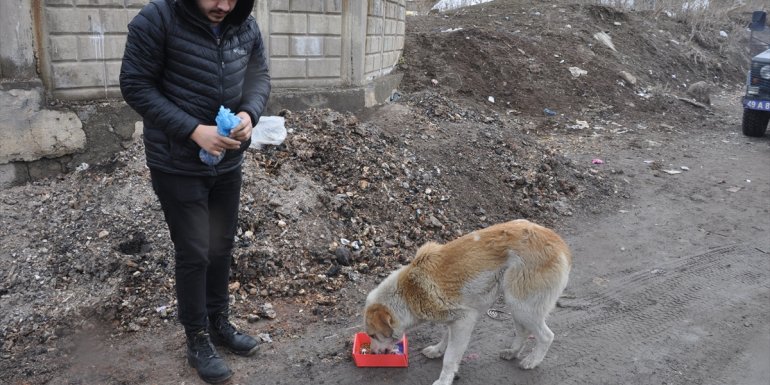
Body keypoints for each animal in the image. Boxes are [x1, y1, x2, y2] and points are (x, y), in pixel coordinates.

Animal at [362, 219, 568, 384]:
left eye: (372, 335)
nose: (373, 353)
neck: (409, 292)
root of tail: (559, 243)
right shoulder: (454, 318)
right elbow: (446, 337)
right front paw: (437, 350)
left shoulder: (464, 321)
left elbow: (450, 358)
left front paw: (444, 380)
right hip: (516, 305)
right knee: (524, 331)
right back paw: (512, 352)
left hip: (522, 306)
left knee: (546, 336)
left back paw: (532, 361)